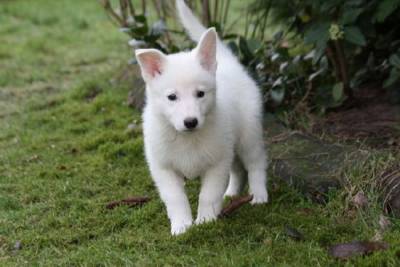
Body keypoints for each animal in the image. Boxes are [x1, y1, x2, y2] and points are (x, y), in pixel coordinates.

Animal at [135, 0, 268, 236]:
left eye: (200, 94)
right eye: (172, 97)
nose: (191, 122)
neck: (187, 138)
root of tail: (230, 64)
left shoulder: (216, 163)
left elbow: (208, 195)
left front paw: (205, 221)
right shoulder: (164, 168)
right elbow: (176, 198)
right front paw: (181, 225)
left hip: (248, 135)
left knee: (255, 162)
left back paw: (259, 195)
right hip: (230, 144)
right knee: (237, 169)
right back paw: (232, 192)